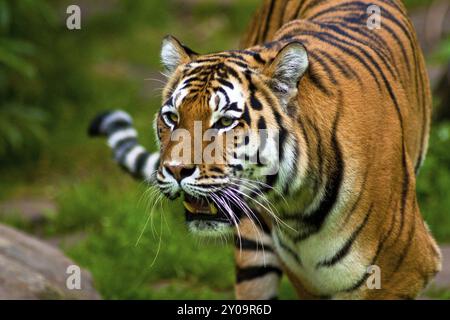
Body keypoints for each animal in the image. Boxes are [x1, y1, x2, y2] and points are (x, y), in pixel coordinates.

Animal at [89, 0, 442, 300]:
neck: (299, 209)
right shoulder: (308, 280)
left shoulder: (401, 271)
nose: (175, 170)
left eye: (225, 121)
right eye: (172, 118)